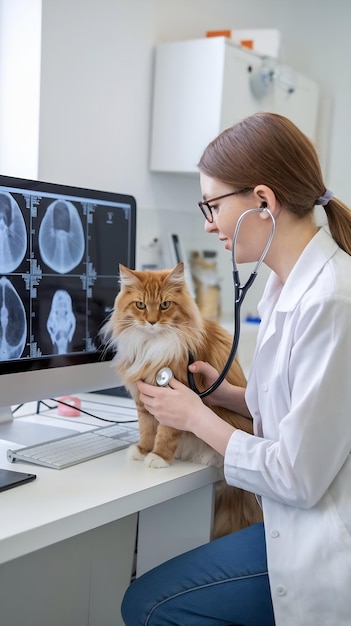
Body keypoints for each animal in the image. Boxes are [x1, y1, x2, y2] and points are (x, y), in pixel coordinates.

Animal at [103, 260, 262, 532]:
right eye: (140, 305)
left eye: (165, 305)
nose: (152, 322)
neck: (151, 345)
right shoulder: (143, 401)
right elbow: (147, 430)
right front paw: (143, 450)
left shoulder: (173, 399)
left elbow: (165, 435)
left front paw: (158, 457)